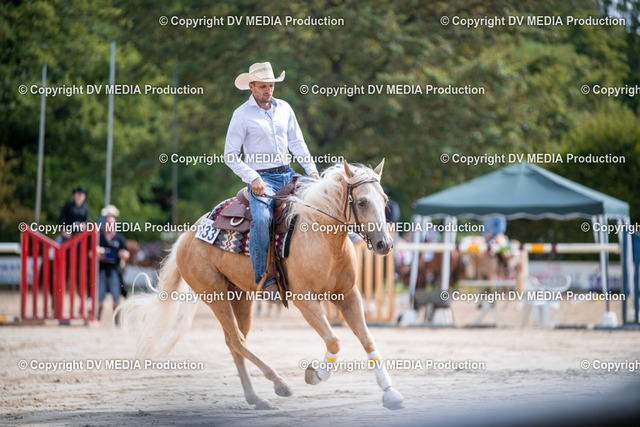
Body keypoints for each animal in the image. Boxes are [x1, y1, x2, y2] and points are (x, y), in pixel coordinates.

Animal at [116, 160, 404, 410]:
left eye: (384, 200)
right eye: (362, 201)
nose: (385, 244)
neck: (321, 233)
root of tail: (187, 236)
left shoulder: (348, 295)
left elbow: (367, 340)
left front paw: (391, 393)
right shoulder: (305, 301)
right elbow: (333, 341)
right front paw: (315, 375)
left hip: (240, 297)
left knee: (234, 343)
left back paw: (256, 398)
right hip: (214, 294)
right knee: (237, 340)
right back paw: (279, 384)